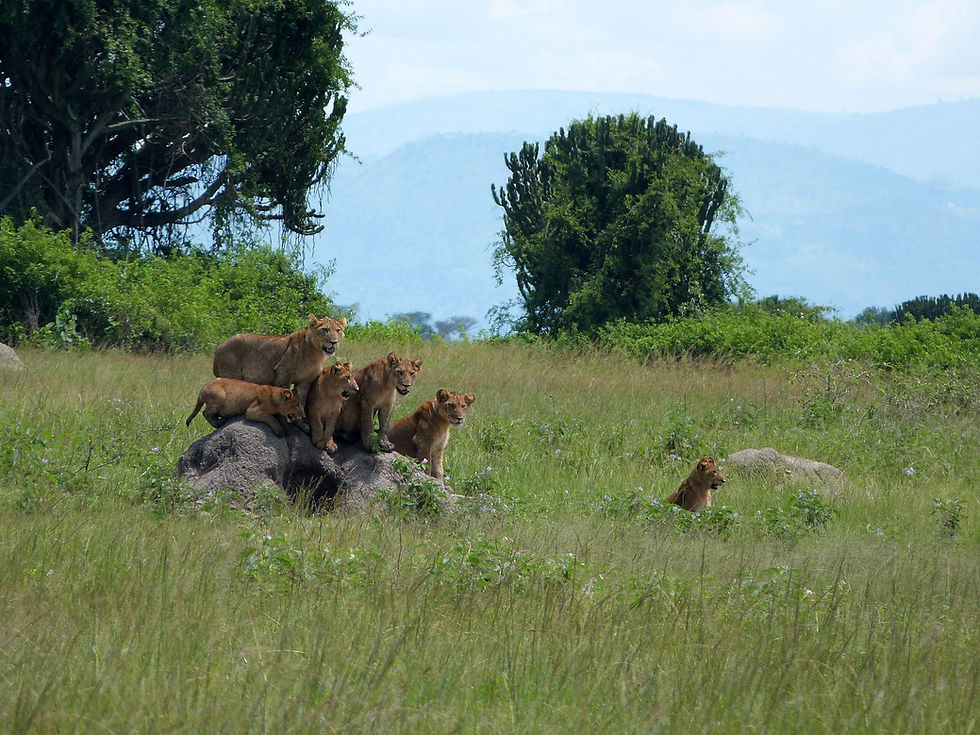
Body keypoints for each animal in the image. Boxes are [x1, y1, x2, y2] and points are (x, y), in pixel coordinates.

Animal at [211, 314, 347, 405]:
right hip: (231, 373)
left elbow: (302, 399)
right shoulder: (284, 371)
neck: (316, 353)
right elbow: (284, 391)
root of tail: (218, 347)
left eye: (338, 330)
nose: (333, 342)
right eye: (325, 330)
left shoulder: (306, 381)